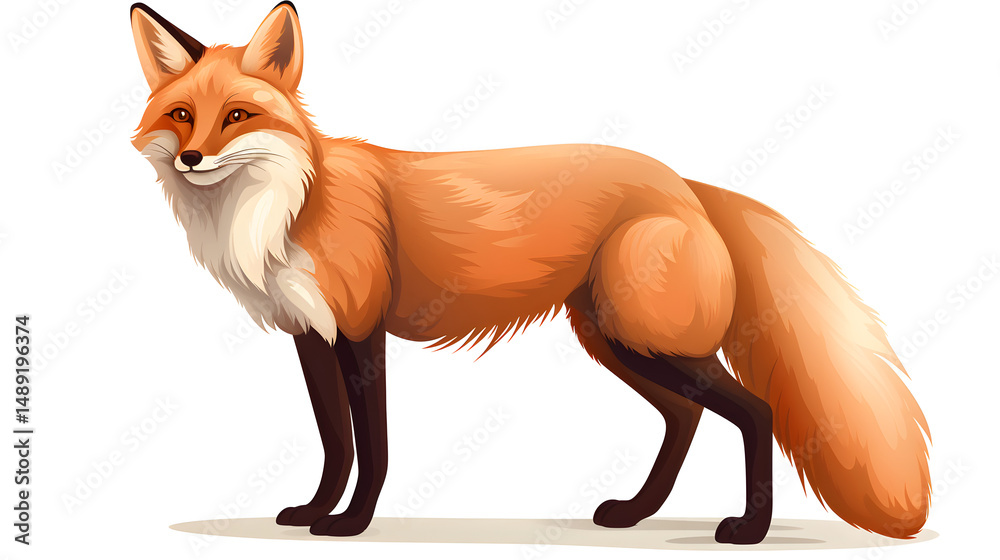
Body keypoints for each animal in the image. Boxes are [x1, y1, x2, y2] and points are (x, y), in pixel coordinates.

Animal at [129, 2, 930, 545]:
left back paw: (748, 529)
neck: (291, 204)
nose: (192, 159)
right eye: (181, 115)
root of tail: (684, 183)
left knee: (753, 411)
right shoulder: (311, 335)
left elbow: (374, 446)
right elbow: (335, 444)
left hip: (646, 338)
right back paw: (635, 513)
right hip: (615, 339)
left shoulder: (361, 332)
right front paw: (314, 512)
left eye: (237, 116)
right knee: (687, 416)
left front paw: (353, 523)